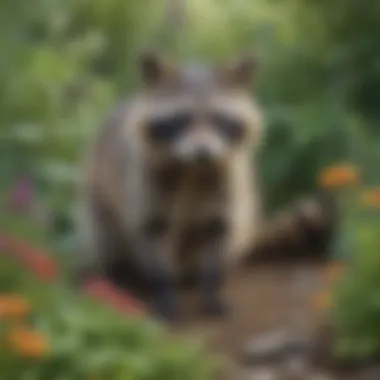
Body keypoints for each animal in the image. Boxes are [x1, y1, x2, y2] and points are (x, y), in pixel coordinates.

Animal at [75, 51, 262, 320]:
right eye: (181, 119)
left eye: (218, 119)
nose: (202, 152)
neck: (192, 169)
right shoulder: (144, 184)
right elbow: (151, 236)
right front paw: (164, 291)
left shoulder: (229, 183)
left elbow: (221, 235)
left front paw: (212, 289)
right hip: (97, 193)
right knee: (106, 236)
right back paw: (117, 276)